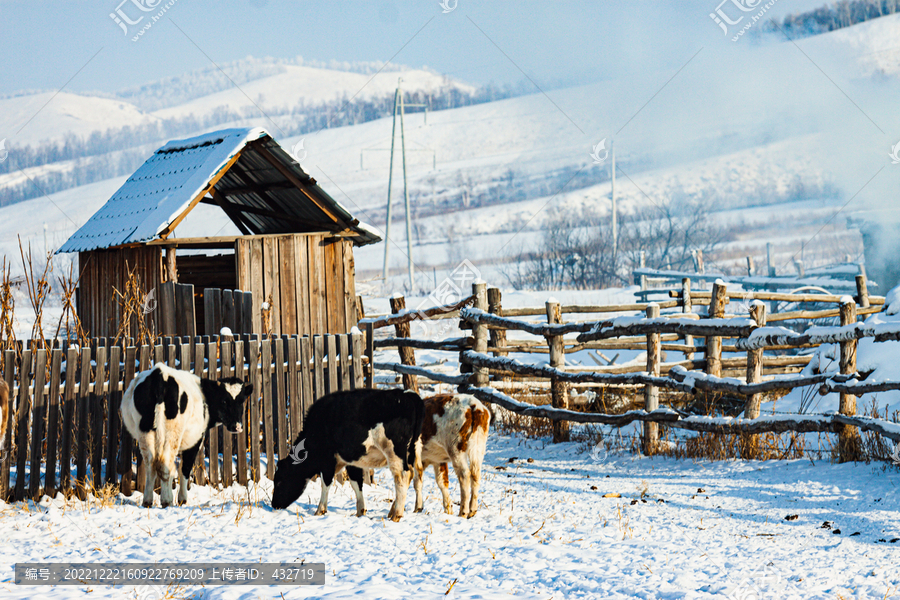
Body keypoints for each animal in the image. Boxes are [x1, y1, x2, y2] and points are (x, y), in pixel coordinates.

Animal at [119, 360, 253, 506]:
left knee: (151, 465)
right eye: (224, 401)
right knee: (164, 464)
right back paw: (167, 501)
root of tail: (160, 374)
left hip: (145, 432)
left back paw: (147, 501)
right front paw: (182, 499)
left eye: (242, 401)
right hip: (172, 433)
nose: (237, 426)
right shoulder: (195, 442)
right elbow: (184, 469)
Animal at [270, 390, 426, 520]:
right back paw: (414, 507)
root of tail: (407, 395)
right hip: (414, 450)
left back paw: (396, 514)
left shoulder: (328, 460)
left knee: (403, 476)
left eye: (279, 481)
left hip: (394, 452)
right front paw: (360, 511)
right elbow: (356, 483)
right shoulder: (352, 461)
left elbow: (326, 483)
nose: (274, 504)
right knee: (417, 474)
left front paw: (320, 510)